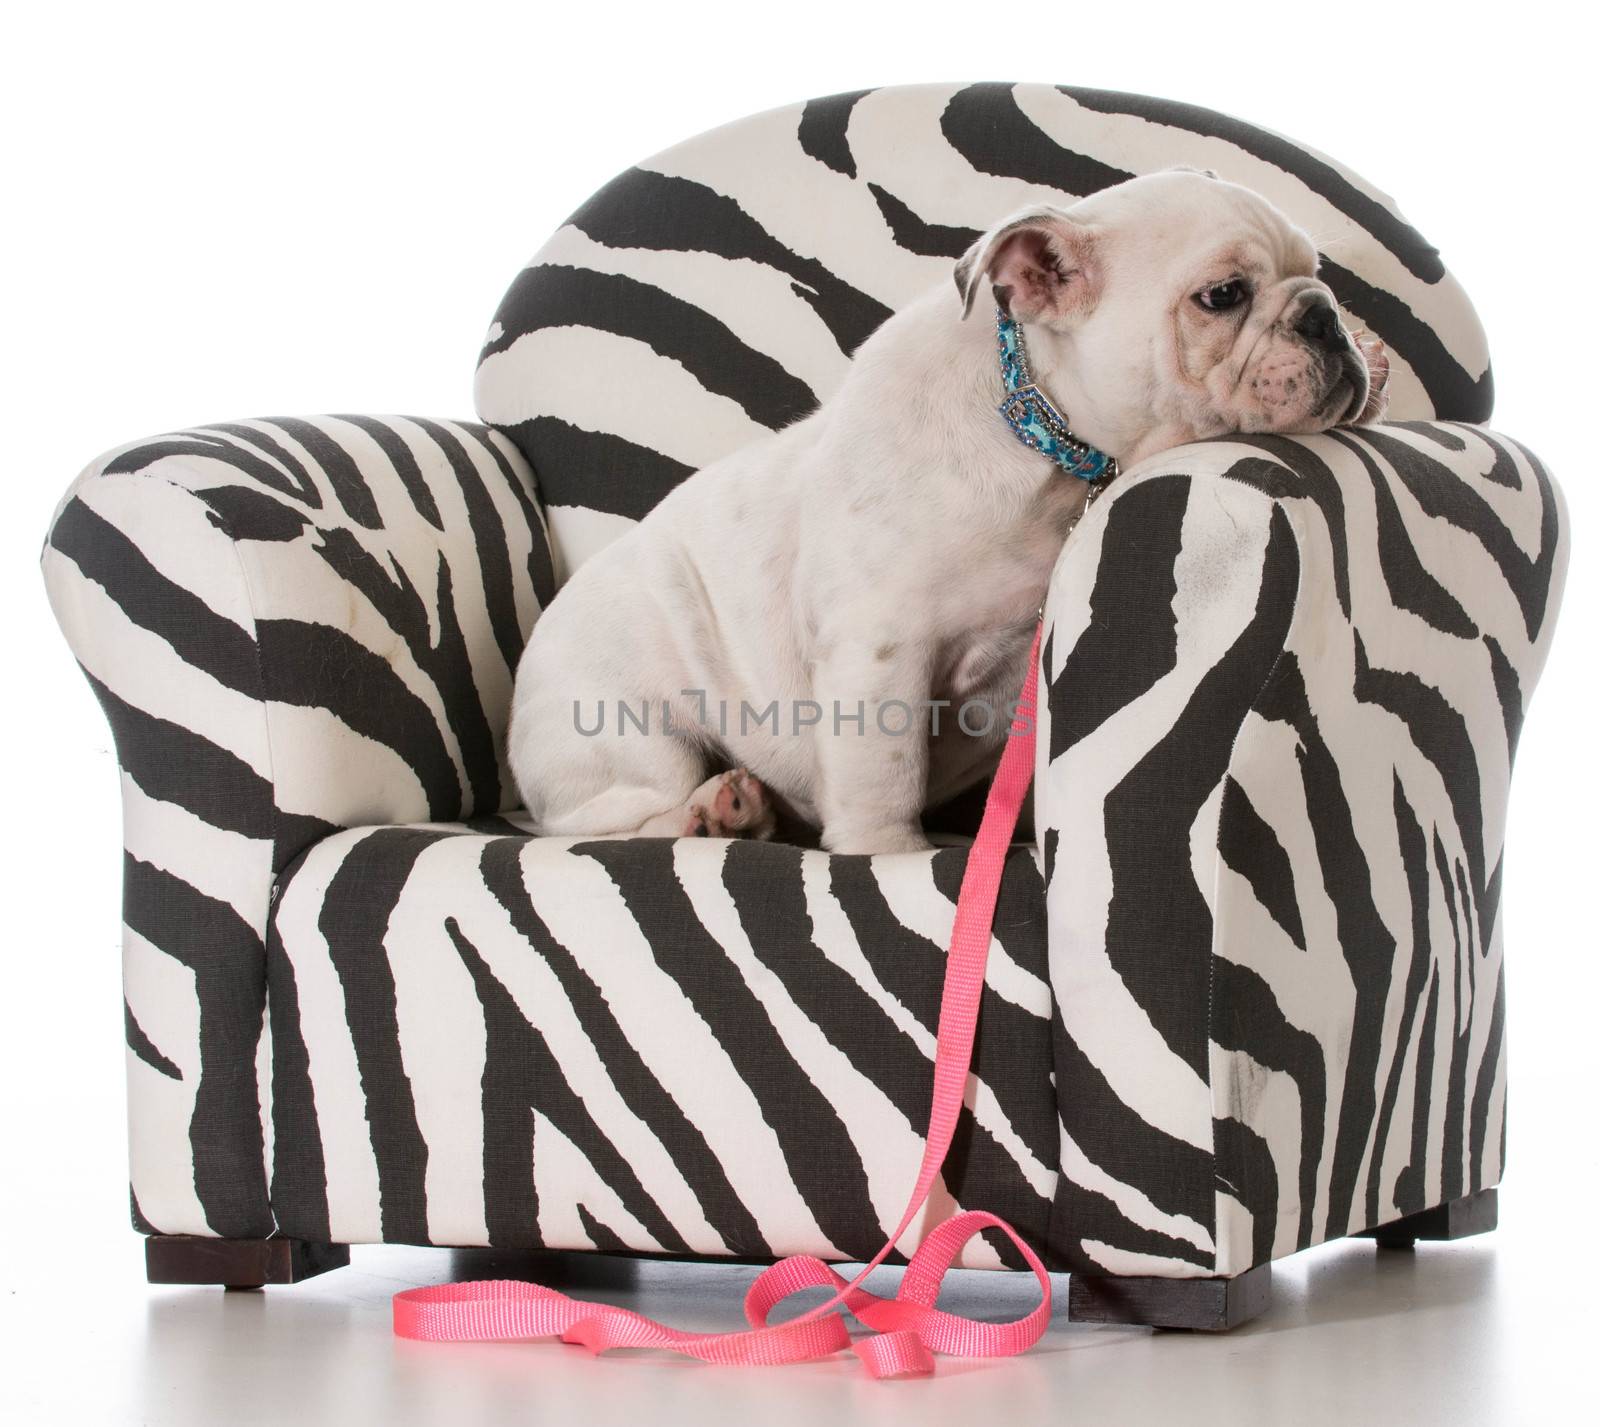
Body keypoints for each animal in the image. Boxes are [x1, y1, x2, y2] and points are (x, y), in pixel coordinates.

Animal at [508, 172, 1388, 851]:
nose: (1325, 316)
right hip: (632, 735)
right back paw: (712, 814)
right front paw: (888, 852)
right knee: (609, 820)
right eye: (1222, 296)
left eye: (1317, 272)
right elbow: (883, 772)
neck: (1044, 436)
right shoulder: (880, 648)